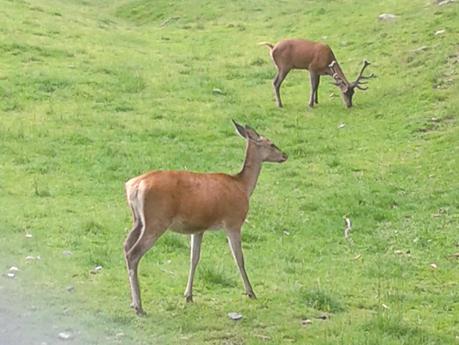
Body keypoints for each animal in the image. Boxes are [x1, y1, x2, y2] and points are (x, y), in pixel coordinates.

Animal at [122, 120, 288, 314]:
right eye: (271, 143)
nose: (285, 155)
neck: (243, 186)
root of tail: (134, 185)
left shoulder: (198, 228)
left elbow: (194, 259)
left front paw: (188, 296)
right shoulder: (233, 222)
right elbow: (239, 258)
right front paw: (251, 292)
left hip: (138, 220)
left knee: (126, 246)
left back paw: (133, 302)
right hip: (156, 221)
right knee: (134, 253)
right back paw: (139, 307)